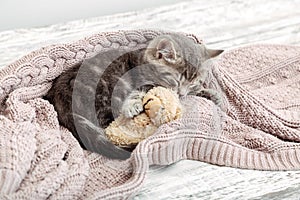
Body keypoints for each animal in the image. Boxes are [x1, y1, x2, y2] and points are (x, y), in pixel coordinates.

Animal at [44, 34, 223, 159]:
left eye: (193, 83)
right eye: (175, 80)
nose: (181, 93)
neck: (144, 60)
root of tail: (58, 98)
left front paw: (213, 95)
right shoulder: (141, 80)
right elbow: (142, 91)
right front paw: (133, 105)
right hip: (106, 90)